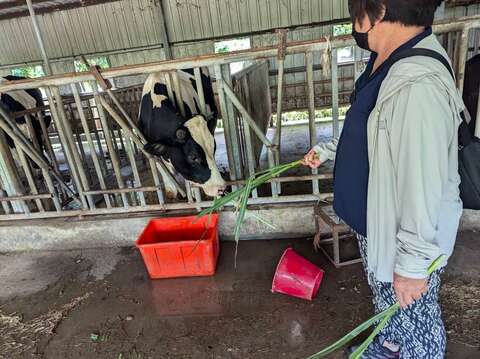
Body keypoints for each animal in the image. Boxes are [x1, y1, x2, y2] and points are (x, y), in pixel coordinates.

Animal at [138, 67, 226, 197]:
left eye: (213, 149)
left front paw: (193, 193)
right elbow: (159, 165)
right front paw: (171, 189)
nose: (222, 188)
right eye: (193, 157)